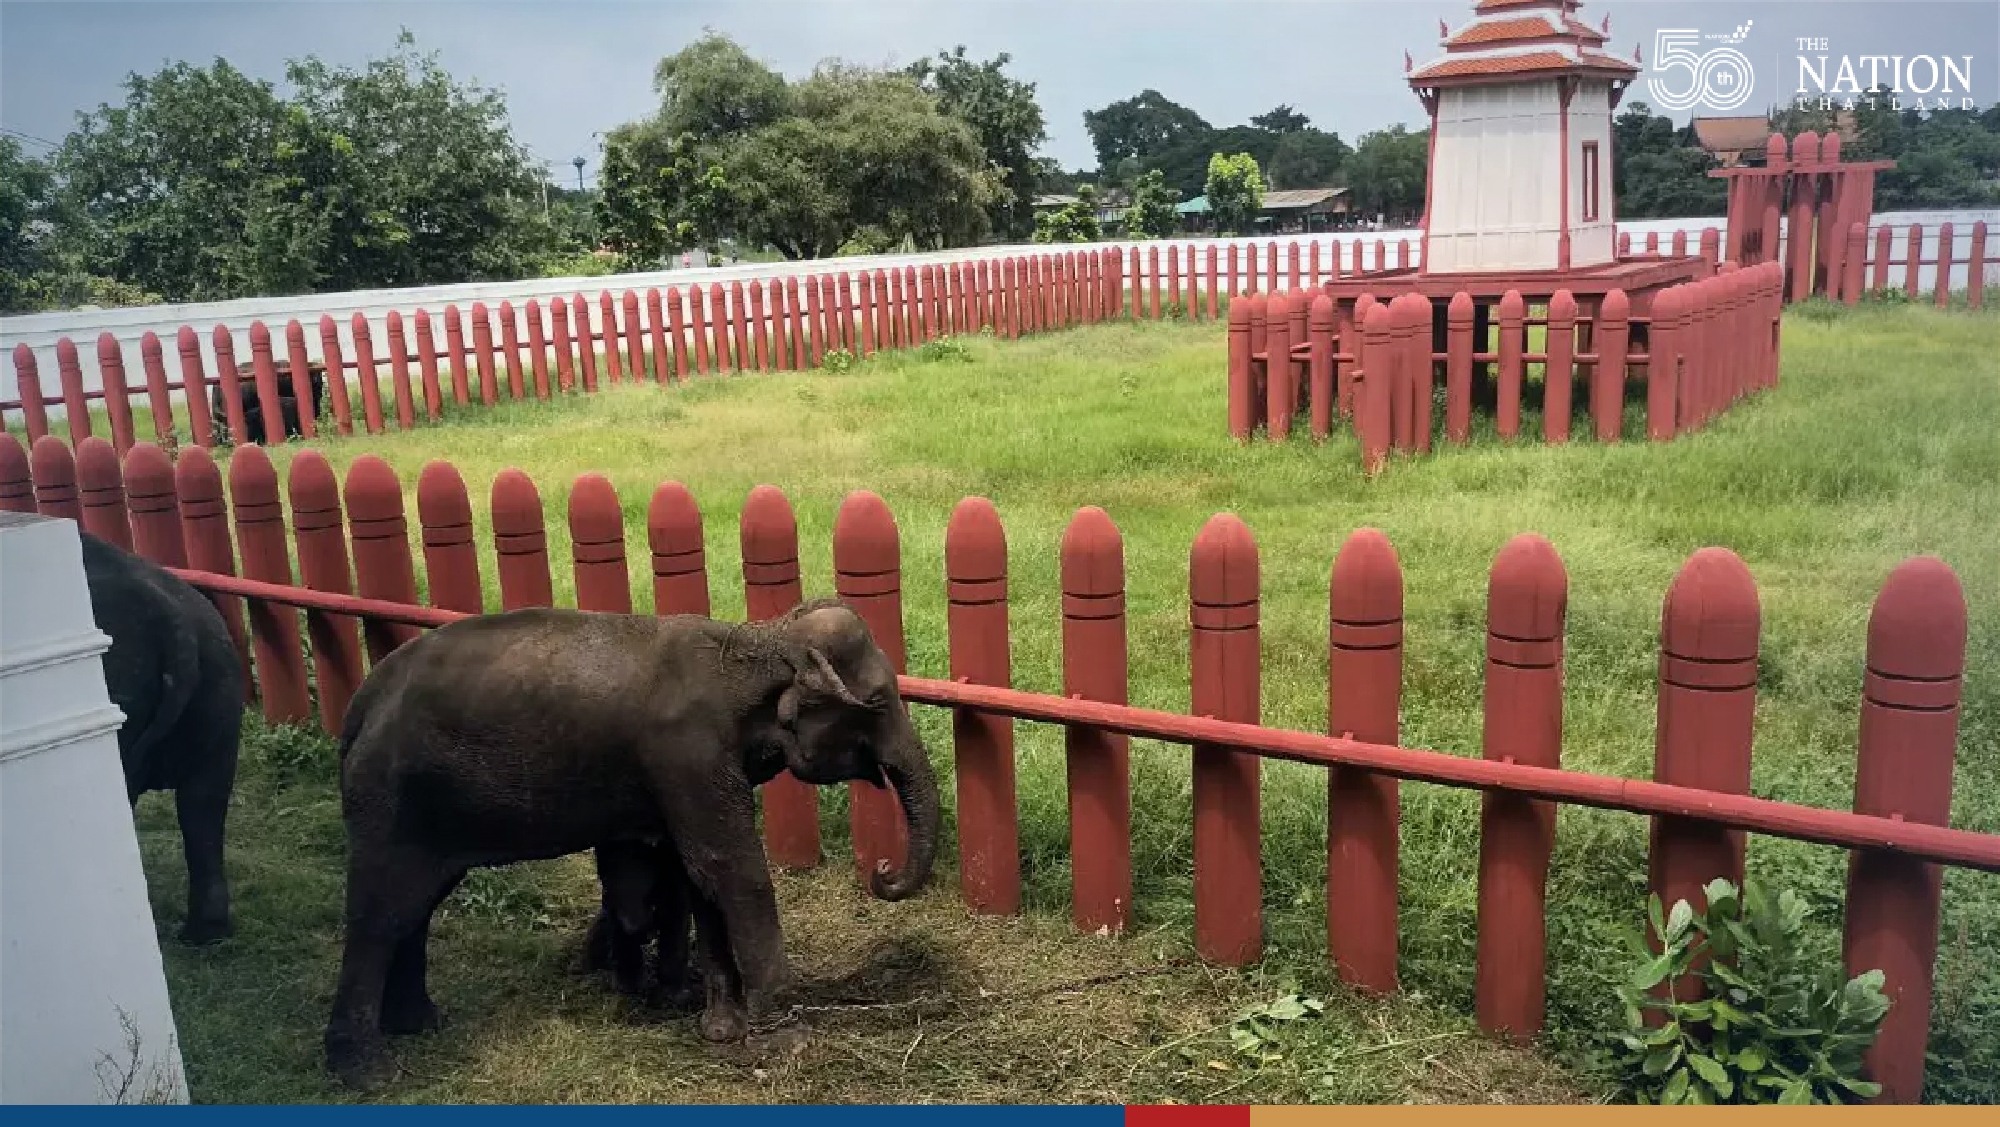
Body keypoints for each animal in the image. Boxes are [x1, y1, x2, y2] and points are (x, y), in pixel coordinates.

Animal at [322, 596, 942, 1090]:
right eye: (878, 702)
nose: (883, 871)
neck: (754, 641)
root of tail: (361, 702)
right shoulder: (686, 753)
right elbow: (730, 868)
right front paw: (786, 1041)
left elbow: (699, 876)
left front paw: (720, 1029)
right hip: (391, 801)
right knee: (380, 914)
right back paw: (368, 1073)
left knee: (413, 910)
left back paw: (420, 1024)